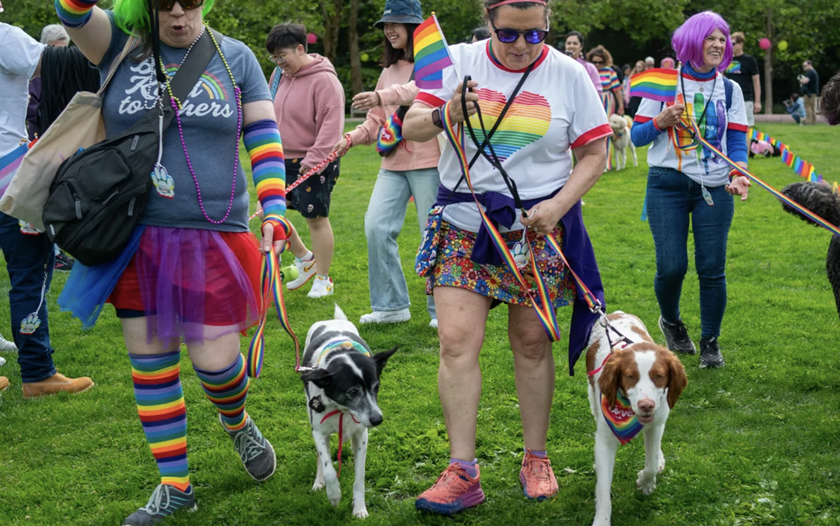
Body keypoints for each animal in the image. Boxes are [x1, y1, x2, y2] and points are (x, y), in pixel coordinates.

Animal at [299, 305, 397, 518]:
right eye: (352, 392)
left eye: (376, 387)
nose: (377, 419)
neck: (341, 409)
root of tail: (332, 321)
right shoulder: (318, 431)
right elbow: (328, 467)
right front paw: (334, 494)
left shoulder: (361, 434)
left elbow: (359, 477)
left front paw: (359, 508)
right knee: (321, 458)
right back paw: (319, 482)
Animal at [586, 312, 687, 526]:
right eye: (630, 376)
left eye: (659, 376)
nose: (646, 405)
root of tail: (616, 313)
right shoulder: (605, 437)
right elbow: (604, 487)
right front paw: (602, 520)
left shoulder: (656, 423)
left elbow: (650, 463)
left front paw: (646, 482)